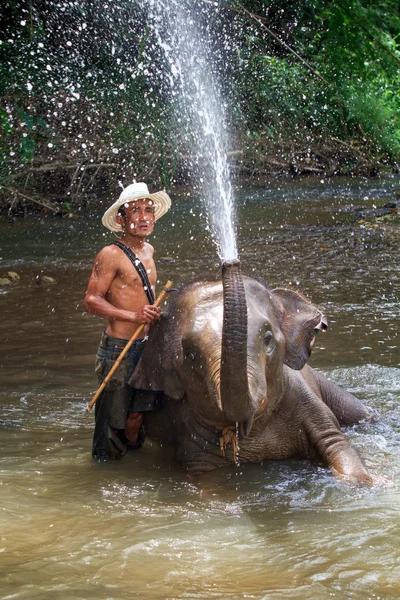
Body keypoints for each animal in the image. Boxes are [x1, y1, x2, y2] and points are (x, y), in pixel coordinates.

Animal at [130, 260, 374, 486]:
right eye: (189, 353)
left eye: (267, 339)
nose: (229, 262)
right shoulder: (190, 436)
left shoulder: (305, 401)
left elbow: (338, 446)